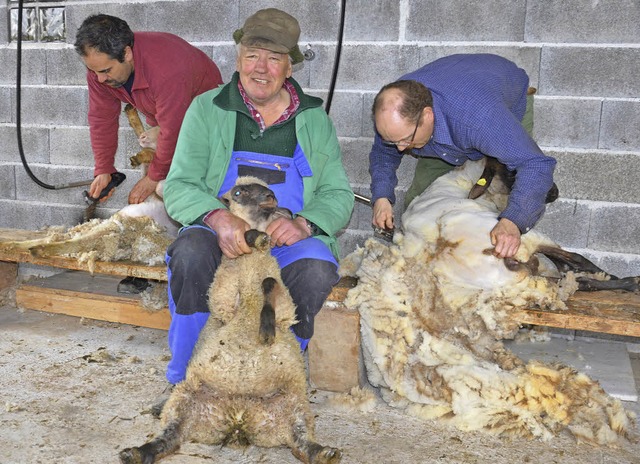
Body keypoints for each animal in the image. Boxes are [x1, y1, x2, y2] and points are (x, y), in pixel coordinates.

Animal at [118, 177, 342, 464]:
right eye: (238, 192)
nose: (270, 196)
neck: (250, 268)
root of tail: (238, 417)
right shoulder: (223, 296)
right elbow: (251, 278)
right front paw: (254, 237)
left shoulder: (285, 308)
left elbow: (269, 283)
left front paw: (266, 328)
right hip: (184, 397)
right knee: (168, 436)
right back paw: (136, 452)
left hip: (294, 405)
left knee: (301, 441)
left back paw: (324, 453)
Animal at [344, 159, 640, 446]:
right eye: (511, 170)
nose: (554, 192)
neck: (460, 182)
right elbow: (576, 260)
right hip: (528, 240)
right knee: (574, 266)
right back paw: (629, 281)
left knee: (563, 273)